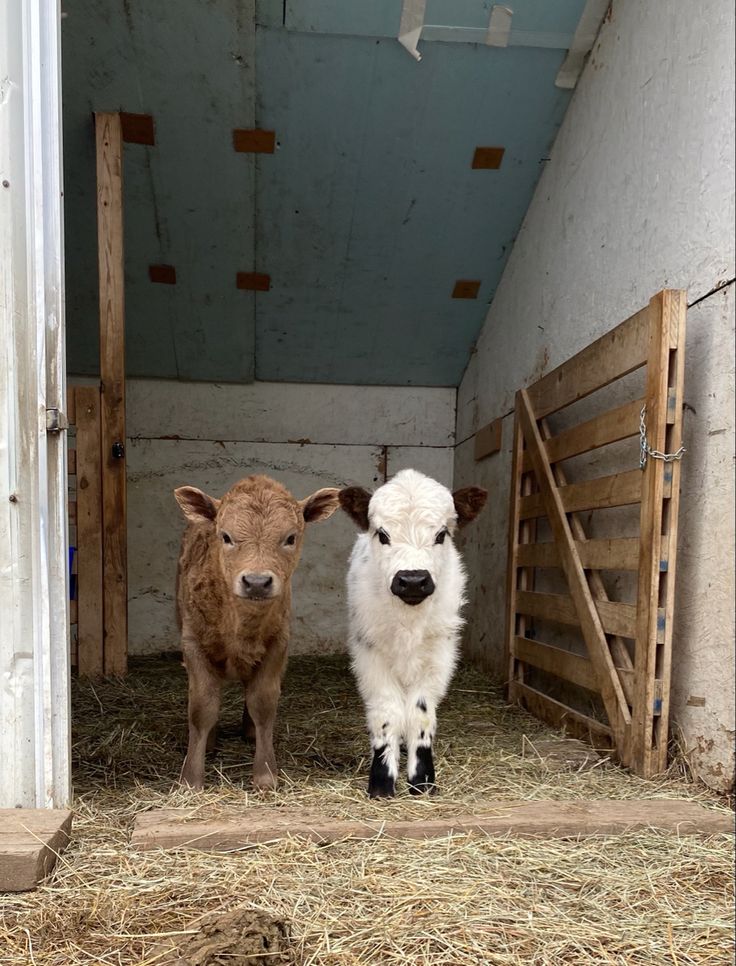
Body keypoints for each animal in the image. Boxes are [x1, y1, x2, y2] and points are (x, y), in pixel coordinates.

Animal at [174, 472, 338, 792]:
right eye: (226, 536)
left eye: (290, 538)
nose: (257, 582)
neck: (240, 628)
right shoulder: (193, 643)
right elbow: (202, 707)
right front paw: (191, 779)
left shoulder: (278, 643)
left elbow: (262, 702)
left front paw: (265, 775)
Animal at [340, 470, 488, 800]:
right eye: (382, 535)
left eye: (441, 535)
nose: (412, 580)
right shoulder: (370, 655)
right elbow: (386, 714)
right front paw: (382, 782)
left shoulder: (438, 657)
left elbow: (420, 715)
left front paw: (422, 781)